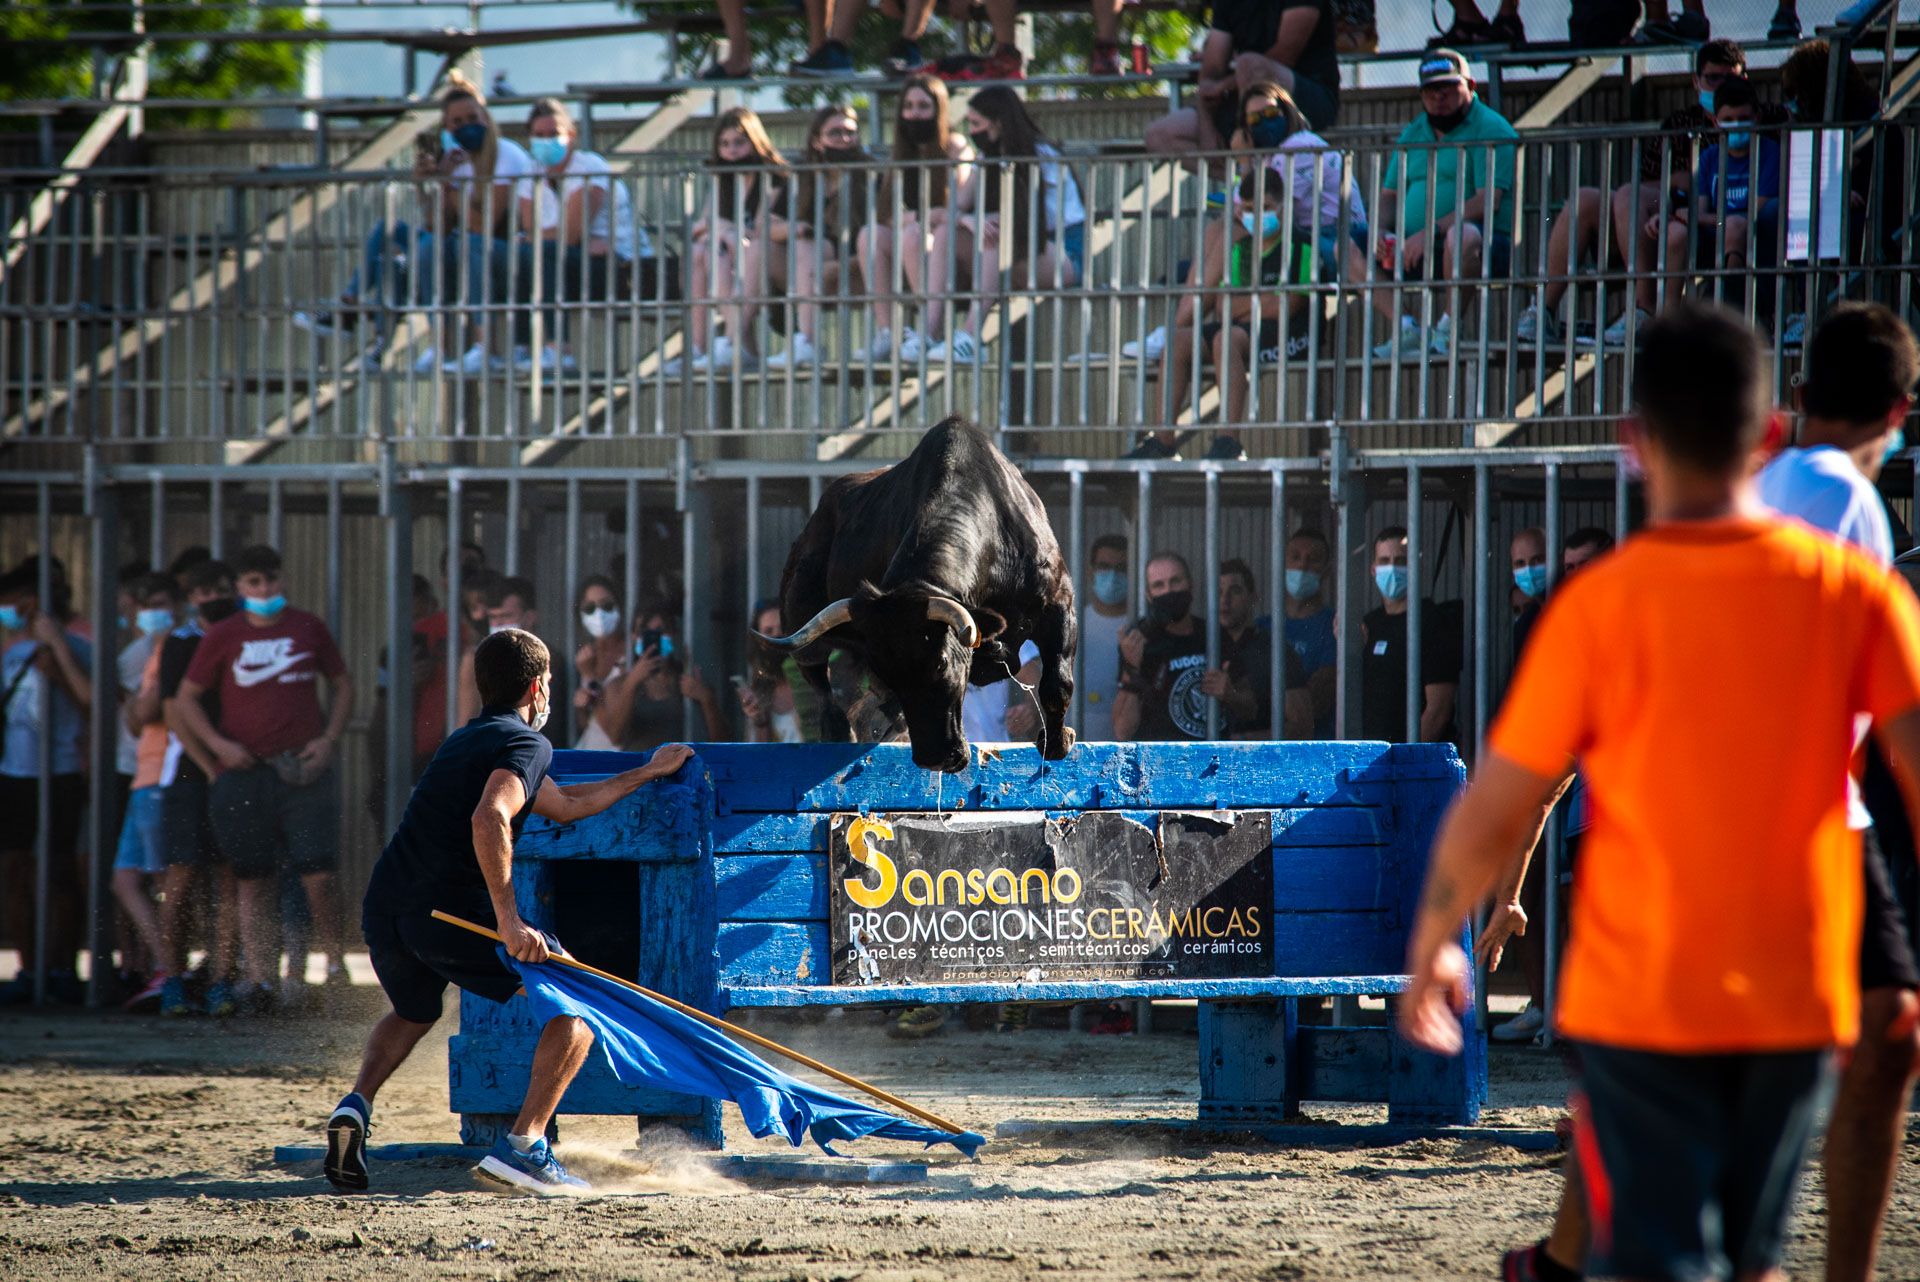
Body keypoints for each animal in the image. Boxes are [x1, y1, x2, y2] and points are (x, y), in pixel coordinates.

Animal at [752, 418, 1082, 771]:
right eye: (888, 673)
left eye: (941, 663)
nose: (936, 758)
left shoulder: (1059, 605)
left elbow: (1057, 684)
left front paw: (1056, 742)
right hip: (800, 619)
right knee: (818, 676)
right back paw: (842, 732)